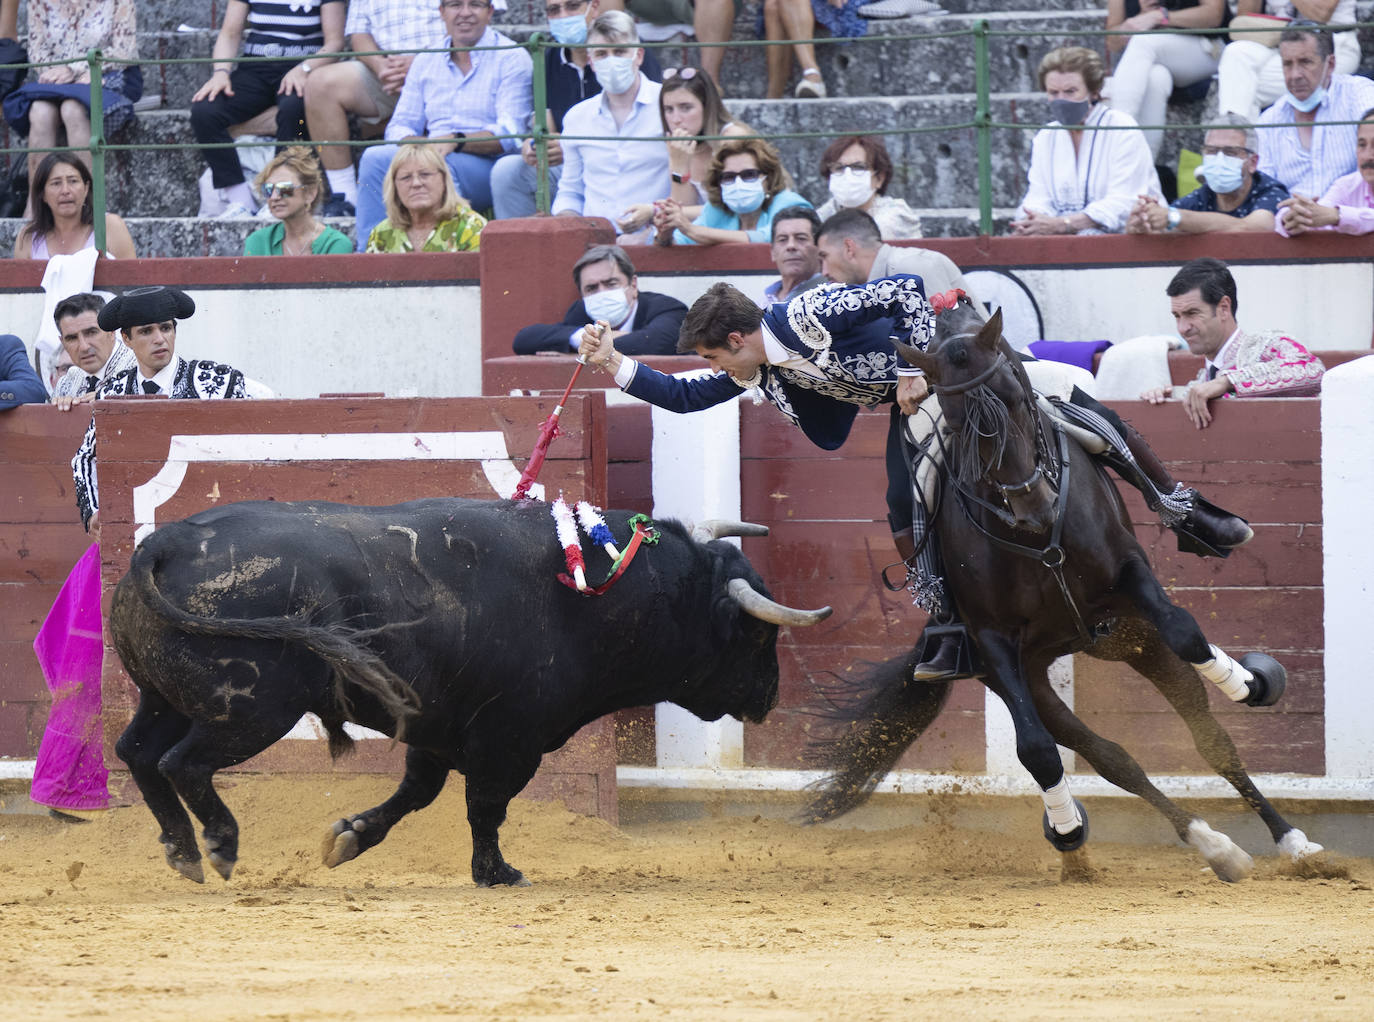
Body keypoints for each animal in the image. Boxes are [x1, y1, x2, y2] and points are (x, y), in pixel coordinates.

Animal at [107, 500, 824, 884]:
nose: (769, 698)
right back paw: (219, 847)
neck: (597, 590)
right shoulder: (510, 737)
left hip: (165, 699)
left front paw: (349, 837)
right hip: (250, 710)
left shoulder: (437, 727)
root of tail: (162, 545)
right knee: (184, 763)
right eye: (757, 636)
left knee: (139, 753)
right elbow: (487, 807)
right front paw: (497, 872)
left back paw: (181, 851)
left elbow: (416, 796)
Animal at [807, 295, 1324, 879]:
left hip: (1133, 634)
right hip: (1046, 665)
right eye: (958, 420)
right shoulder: (994, 642)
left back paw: (1291, 838)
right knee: (1113, 758)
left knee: (1208, 734)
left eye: (1014, 392)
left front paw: (1248, 684)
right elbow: (1038, 751)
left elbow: (1187, 634)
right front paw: (1068, 829)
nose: (1035, 505)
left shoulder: (1129, 576)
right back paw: (1205, 844)